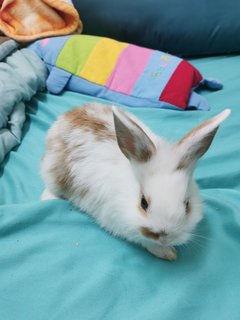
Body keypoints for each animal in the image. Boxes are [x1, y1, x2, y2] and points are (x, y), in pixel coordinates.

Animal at [40, 104, 231, 262]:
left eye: (187, 205)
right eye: (143, 203)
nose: (164, 237)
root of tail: (68, 115)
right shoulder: (117, 220)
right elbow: (143, 240)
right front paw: (166, 252)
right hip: (52, 172)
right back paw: (47, 198)